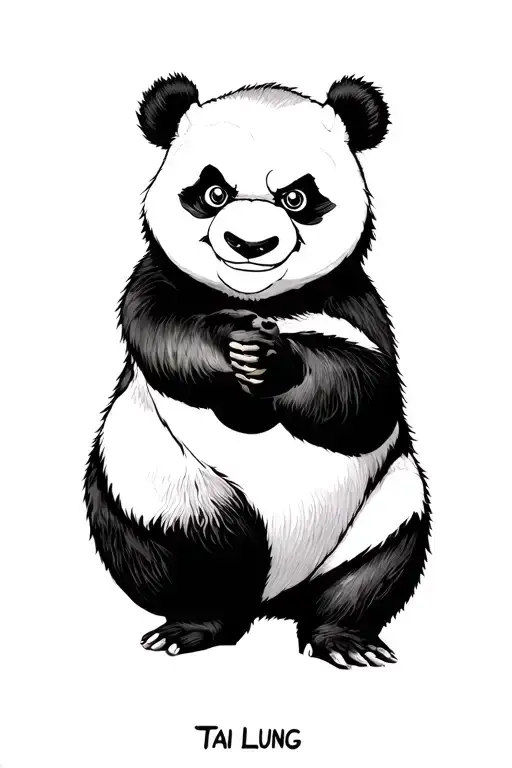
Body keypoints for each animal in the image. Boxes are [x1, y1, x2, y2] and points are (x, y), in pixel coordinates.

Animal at [84, 73, 430, 670]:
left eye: (297, 198)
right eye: (213, 193)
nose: (250, 245)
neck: (257, 301)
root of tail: (275, 596)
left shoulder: (353, 303)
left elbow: (368, 392)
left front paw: (275, 363)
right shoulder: (154, 283)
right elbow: (164, 337)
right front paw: (233, 351)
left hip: (384, 505)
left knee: (377, 566)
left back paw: (344, 638)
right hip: (159, 490)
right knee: (182, 558)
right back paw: (195, 624)